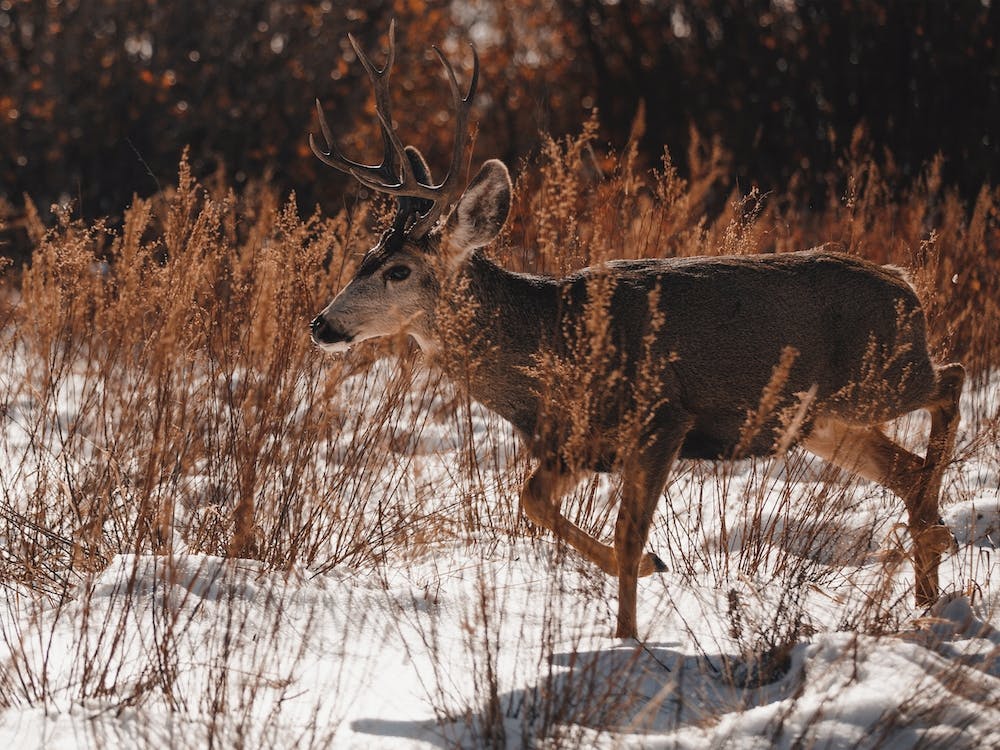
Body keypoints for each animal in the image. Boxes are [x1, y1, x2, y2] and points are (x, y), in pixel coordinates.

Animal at [308, 23, 965, 639]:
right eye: (365, 256)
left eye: (398, 270)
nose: (322, 324)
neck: (554, 341)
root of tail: (905, 282)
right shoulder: (575, 443)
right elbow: (533, 501)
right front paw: (650, 575)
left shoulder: (661, 419)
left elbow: (626, 535)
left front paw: (628, 635)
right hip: (818, 421)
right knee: (907, 468)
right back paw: (928, 587)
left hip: (879, 377)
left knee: (952, 380)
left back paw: (937, 536)